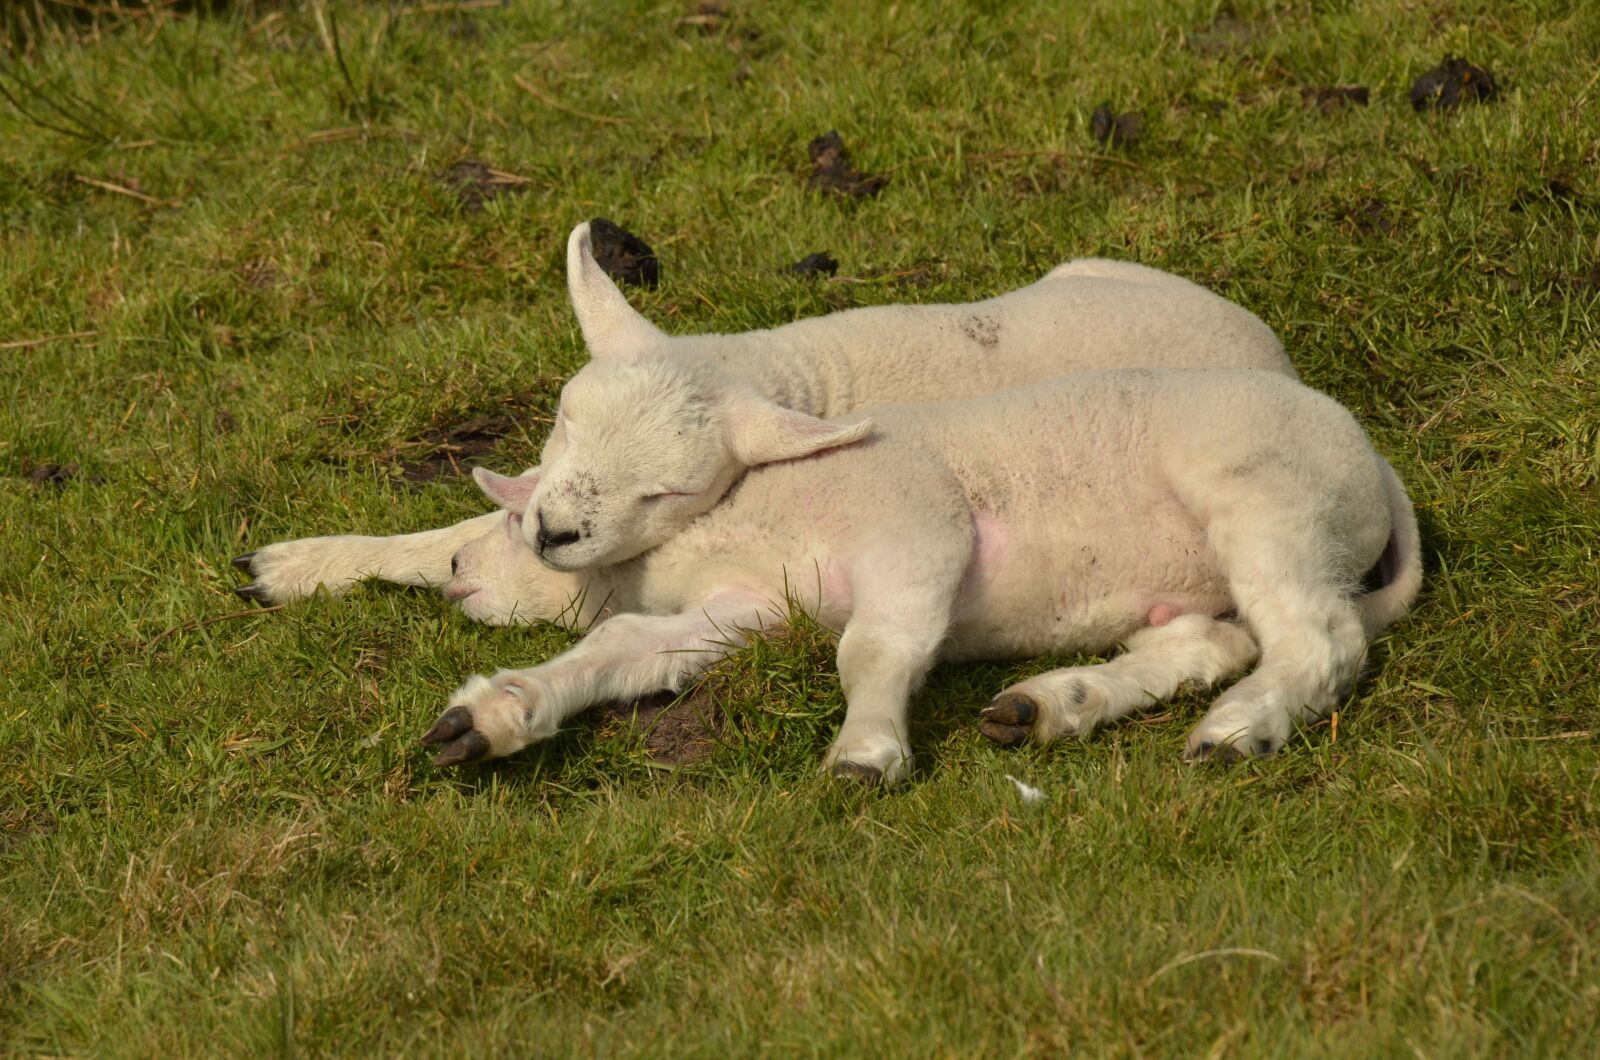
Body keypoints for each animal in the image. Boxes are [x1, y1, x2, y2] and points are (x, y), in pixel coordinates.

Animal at [233, 222, 1293, 608]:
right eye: (564, 419)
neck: (779, 369)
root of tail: (1268, 346)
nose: (556, 531)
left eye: (668, 492)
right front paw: (299, 565)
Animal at [422, 368, 1421, 783]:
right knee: (1211, 641)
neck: (736, 515)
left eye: (511, 515)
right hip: (1210, 578)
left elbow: (876, 648)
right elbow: (628, 643)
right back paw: (1054, 704)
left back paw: (1240, 730)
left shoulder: (916, 526)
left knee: (1318, 638)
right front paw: (492, 713)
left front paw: (865, 754)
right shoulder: (749, 605)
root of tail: (1375, 464)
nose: (458, 567)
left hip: (1267, 494)